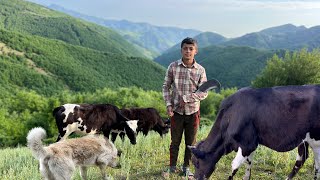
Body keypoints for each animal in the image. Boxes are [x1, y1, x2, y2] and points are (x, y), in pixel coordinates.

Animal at [190, 85, 320, 179]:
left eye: (196, 163)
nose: (196, 177)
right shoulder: (248, 144)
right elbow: (248, 165)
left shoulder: (248, 144)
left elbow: (234, 166)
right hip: (304, 139)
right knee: (303, 158)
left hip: (315, 139)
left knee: (315, 162)